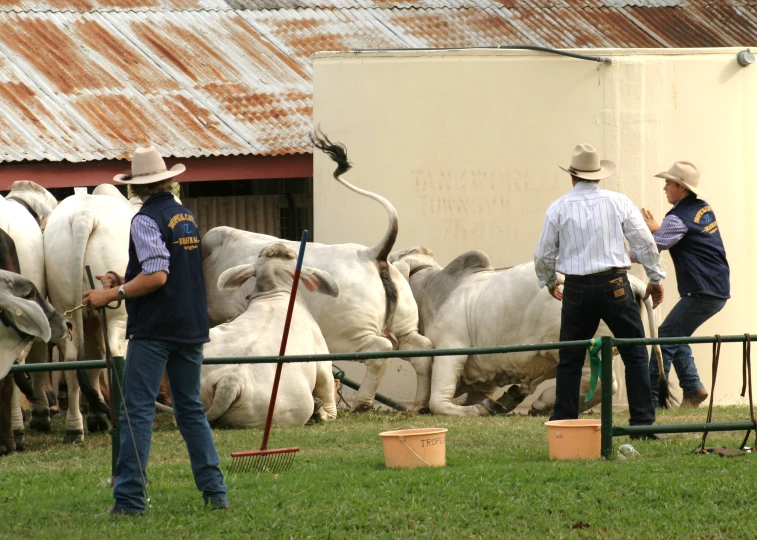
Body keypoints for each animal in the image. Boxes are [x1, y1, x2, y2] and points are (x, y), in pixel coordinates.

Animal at [44, 192, 134, 440]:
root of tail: (84, 216)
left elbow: (92, 364)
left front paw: (95, 417)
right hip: (118, 315)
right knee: (116, 352)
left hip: (67, 305)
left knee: (73, 361)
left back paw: (74, 428)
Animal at [202, 130, 432, 410]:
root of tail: (371, 254)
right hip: (404, 328)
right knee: (422, 351)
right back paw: (419, 405)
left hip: (348, 337)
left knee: (380, 352)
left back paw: (362, 403)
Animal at [390, 247, 660, 416]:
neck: (429, 291)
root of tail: (634, 283)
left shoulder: (450, 349)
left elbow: (438, 401)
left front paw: (482, 409)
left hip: (580, 348)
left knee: (603, 382)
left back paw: (542, 403)